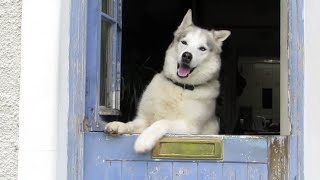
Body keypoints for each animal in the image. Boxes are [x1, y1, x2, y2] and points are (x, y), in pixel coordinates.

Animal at [105, 9, 230, 153]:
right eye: (184, 42)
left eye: (202, 48)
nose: (187, 56)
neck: (180, 87)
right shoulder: (143, 120)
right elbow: (132, 124)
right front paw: (119, 125)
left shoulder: (190, 128)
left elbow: (162, 122)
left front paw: (144, 140)